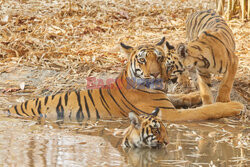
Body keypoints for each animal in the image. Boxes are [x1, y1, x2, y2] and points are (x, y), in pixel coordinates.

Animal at [6, 37, 243, 122]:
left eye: (159, 58)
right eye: (143, 60)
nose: (156, 75)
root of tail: (8, 110)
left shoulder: (166, 101)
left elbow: (182, 98)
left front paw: (195, 94)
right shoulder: (168, 113)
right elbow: (205, 110)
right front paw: (234, 105)